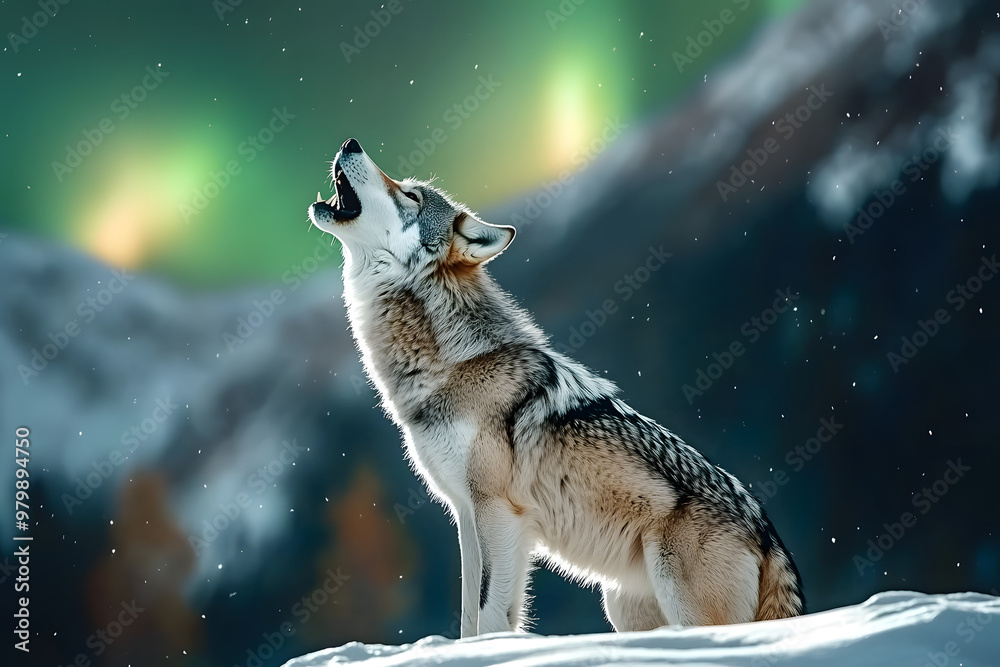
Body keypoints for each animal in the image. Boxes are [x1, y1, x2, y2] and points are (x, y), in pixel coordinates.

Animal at [307, 138, 804, 636]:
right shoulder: (467, 515)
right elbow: (469, 616)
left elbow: (489, 613)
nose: (350, 143)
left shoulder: (497, 512)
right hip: (623, 606)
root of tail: (767, 533)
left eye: (410, 196)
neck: (454, 362)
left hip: (679, 606)